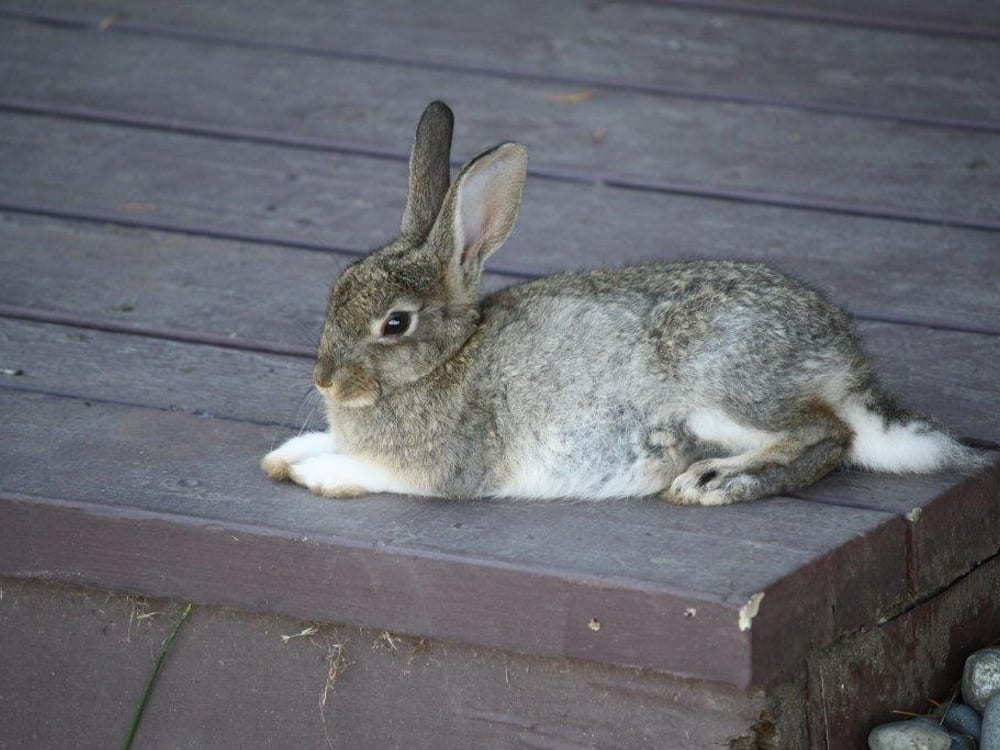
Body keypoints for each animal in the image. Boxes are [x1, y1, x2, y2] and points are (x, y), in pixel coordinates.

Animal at [262, 100, 984, 506]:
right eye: (338, 291)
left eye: (395, 323)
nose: (324, 380)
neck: (444, 362)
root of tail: (845, 363)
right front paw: (286, 454)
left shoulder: (443, 467)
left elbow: (366, 467)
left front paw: (317, 473)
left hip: (724, 386)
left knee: (825, 434)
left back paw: (715, 484)